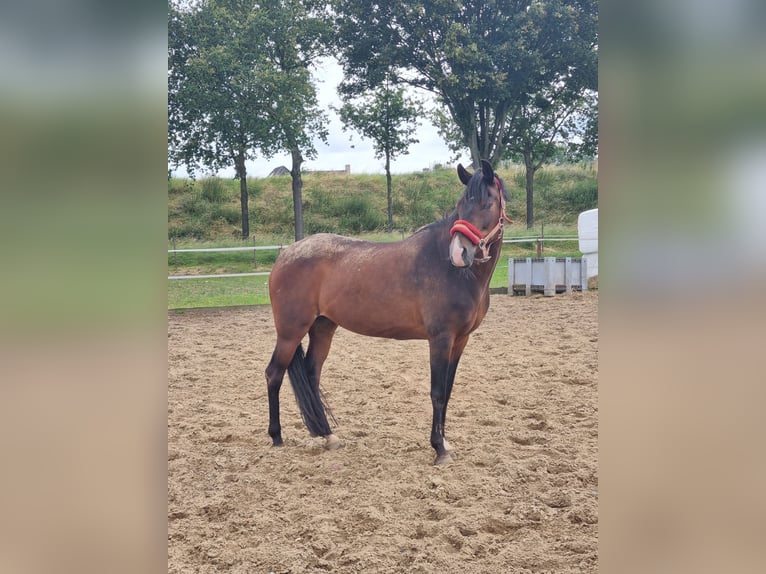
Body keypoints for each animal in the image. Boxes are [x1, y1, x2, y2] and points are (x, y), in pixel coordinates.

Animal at [265, 159, 511, 465]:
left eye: (487, 203)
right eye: (461, 204)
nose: (459, 253)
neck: (451, 270)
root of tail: (285, 255)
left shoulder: (460, 340)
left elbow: (448, 391)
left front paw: (445, 442)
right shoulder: (440, 339)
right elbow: (437, 392)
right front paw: (439, 449)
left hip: (322, 327)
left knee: (311, 375)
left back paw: (327, 435)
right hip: (290, 332)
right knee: (274, 374)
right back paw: (276, 437)